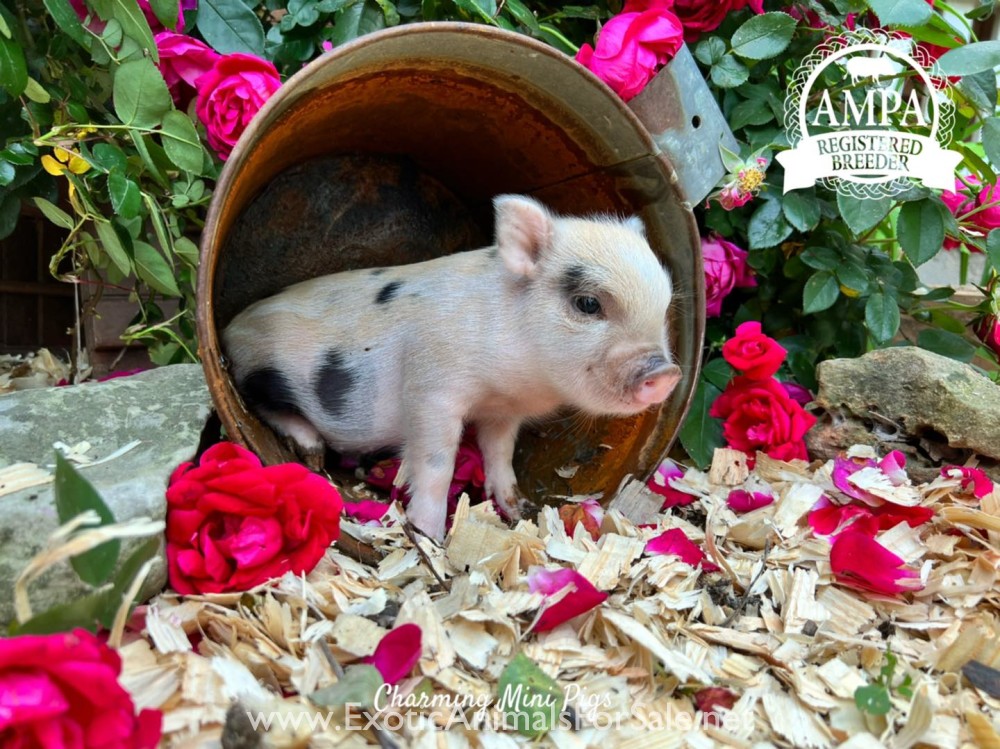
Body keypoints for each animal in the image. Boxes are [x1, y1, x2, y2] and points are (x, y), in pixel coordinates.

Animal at [221, 195, 681, 542]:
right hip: (259, 368)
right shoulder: (432, 391)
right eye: (588, 303)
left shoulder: (503, 412)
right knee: (260, 401)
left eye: (664, 308)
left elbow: (499, 452)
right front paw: (429, 535)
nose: (666, 374)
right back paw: (313, 453)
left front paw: (517, 507)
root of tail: (228, 328)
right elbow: (436, 462)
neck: (517, 379)